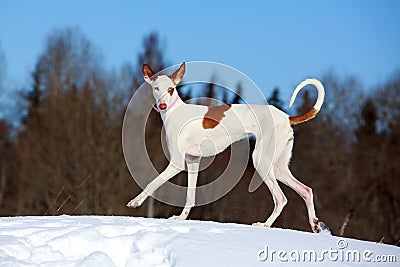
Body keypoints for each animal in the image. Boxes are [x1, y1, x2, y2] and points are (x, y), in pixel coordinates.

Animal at [128, 62, 324, 232]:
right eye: (156, 88)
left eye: (171, 89)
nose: (162, 105)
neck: (176, 112)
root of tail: (287, 117)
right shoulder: (193, 161)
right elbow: (190, 195)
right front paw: (181, 218)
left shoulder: (176, 163)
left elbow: (153, 182)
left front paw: (136, 201)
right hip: (278, 167)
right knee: (306, 190)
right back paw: (314, 224)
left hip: (261, 160)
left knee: (281, 198)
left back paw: (265, 224)